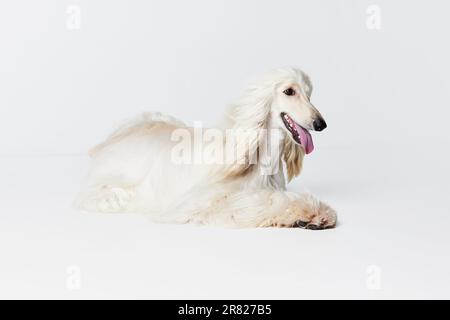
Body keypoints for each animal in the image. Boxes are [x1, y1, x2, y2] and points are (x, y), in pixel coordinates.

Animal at [75, 67, 338, 229]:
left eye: (309, 93)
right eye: (289, 91)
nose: (321, 124)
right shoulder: (196, 203)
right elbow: (259, 202)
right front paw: (312, 212)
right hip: (113, 192)